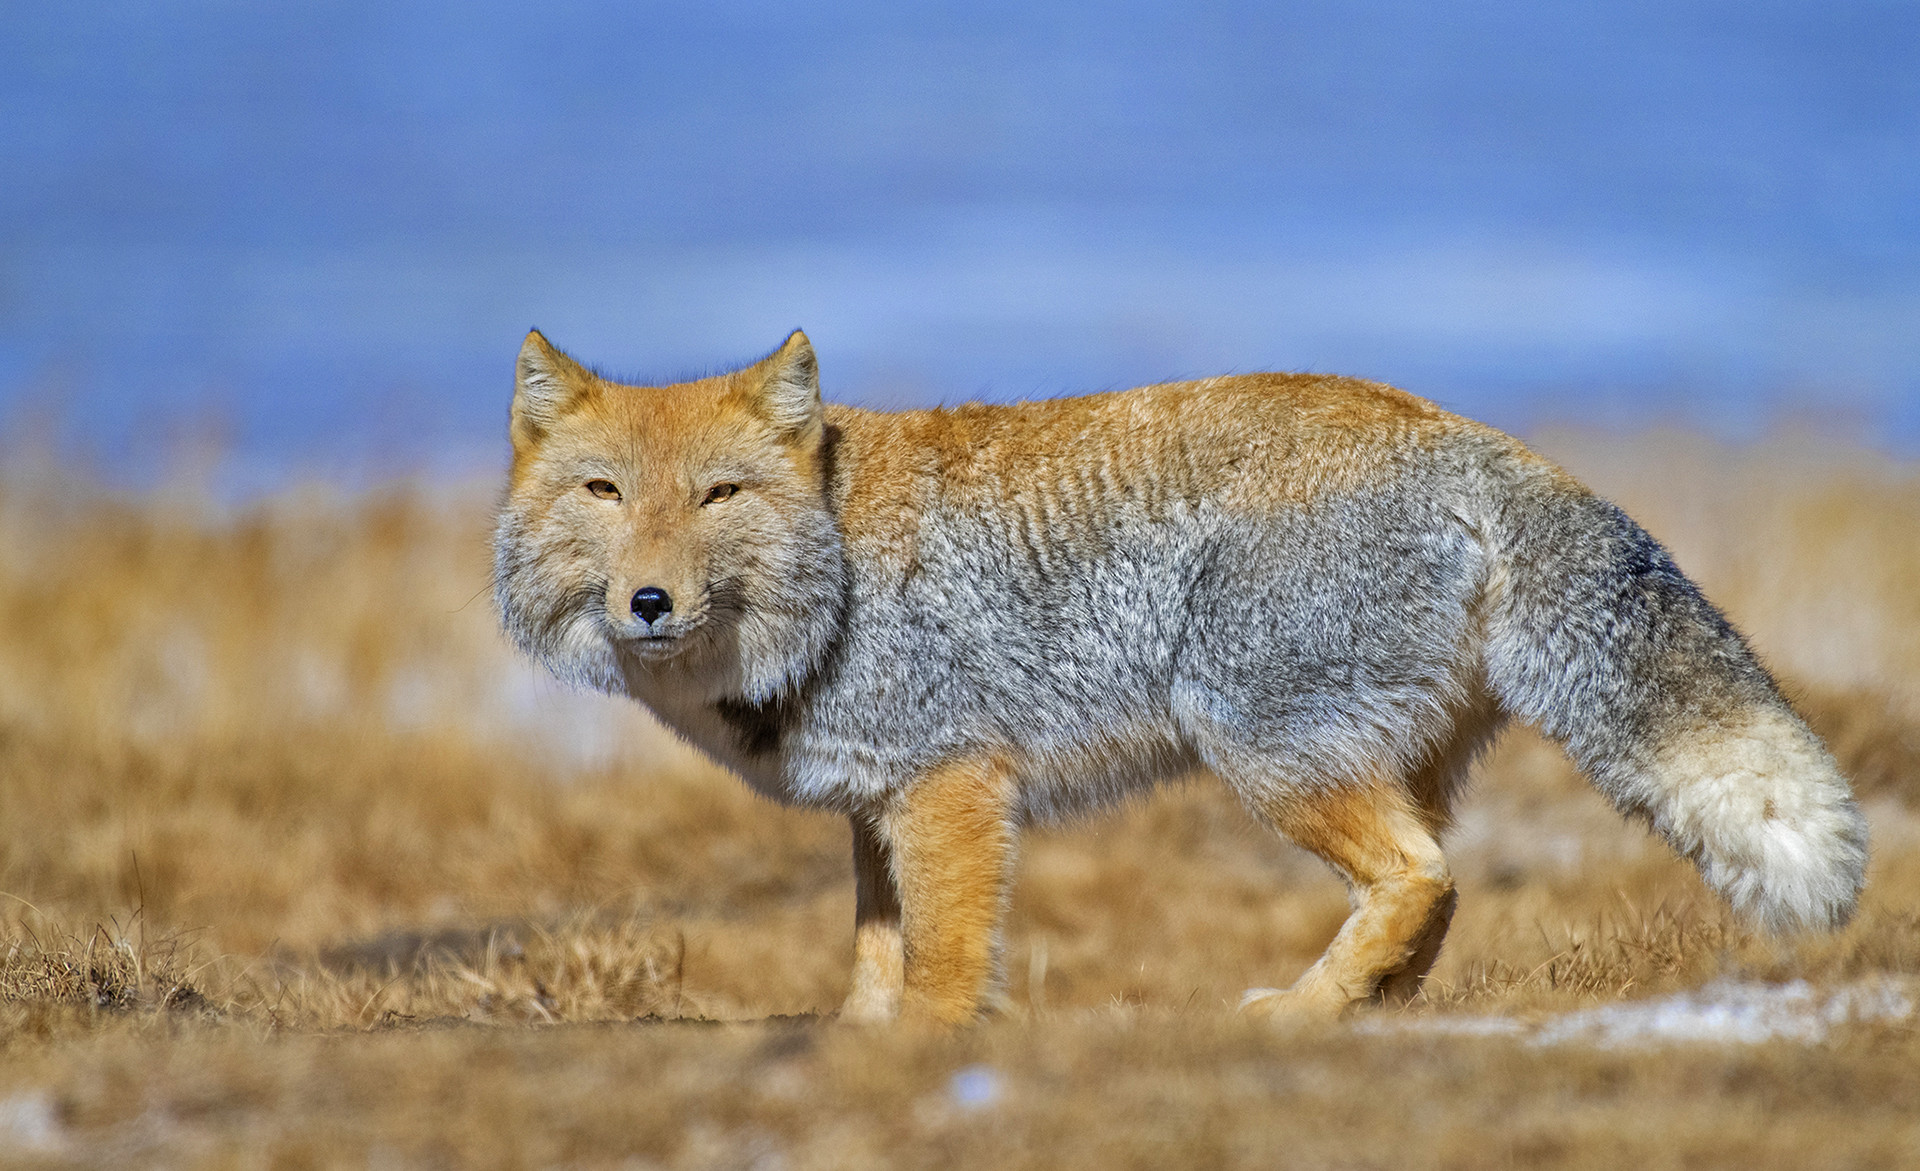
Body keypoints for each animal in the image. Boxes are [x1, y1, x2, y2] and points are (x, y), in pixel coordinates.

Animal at [494, 328, 1868, 1027]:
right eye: (604, 493)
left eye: (718, 497)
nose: (649, 601)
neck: (831, 580)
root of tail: (1459, 431)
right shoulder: (878, 807)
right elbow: (874, 962)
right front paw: (860, 1045)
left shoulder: (951, 789)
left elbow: (941, 964)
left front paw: (930, 1055)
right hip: (1375, 761)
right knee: (1438, 891)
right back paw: (1363, 1010)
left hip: (1259, 746)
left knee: (1421, 879)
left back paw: (1298, 1011)